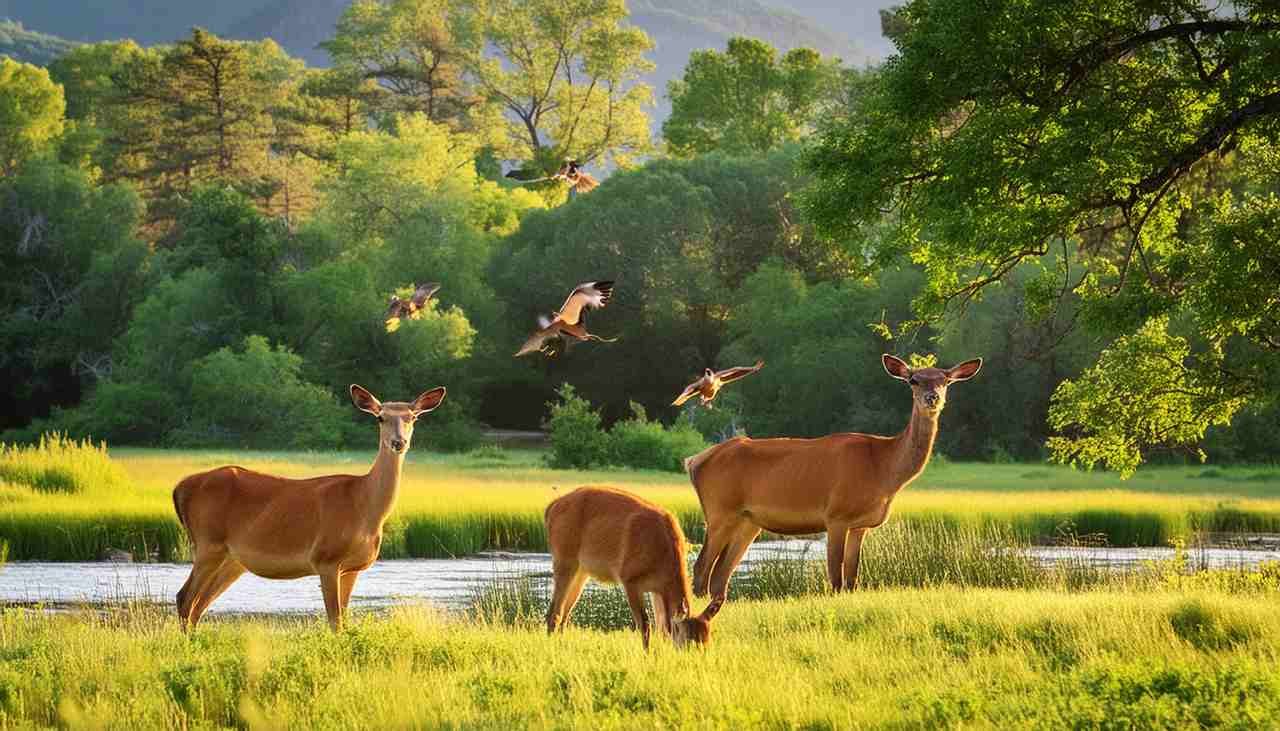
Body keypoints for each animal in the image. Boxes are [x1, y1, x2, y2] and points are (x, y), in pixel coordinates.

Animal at [171, 384, 446, 631]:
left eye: (413, 417)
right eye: (380, 417)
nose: (399, 442)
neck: (364, 505)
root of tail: (180, 488)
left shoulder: (352, 567)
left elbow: (344, 619)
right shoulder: (326, 558)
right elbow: (335, 622)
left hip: (232, 560)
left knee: (198, 606)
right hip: (208, 542)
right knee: (185, 598)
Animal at [544, 486, 723, 649]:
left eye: (707, 642)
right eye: (688, 642)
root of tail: (551, 508)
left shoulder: (658, 589)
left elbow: (662, 626)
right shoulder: (629, 579)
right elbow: (645, 624)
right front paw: (648, 653)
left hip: (582, 571)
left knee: (565, 613)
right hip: (564, 560)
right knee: (554, 612)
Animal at [684, 354, 982, 603]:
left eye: (945, 380)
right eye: (913, 380)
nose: (932, 397)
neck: (883, 469)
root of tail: (694, 461)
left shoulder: (861, 525)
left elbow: (852, 579)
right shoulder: (836, 515)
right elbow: (836, 579)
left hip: (747, 521)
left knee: (720, 575)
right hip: (719, 510)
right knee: (701, 568)